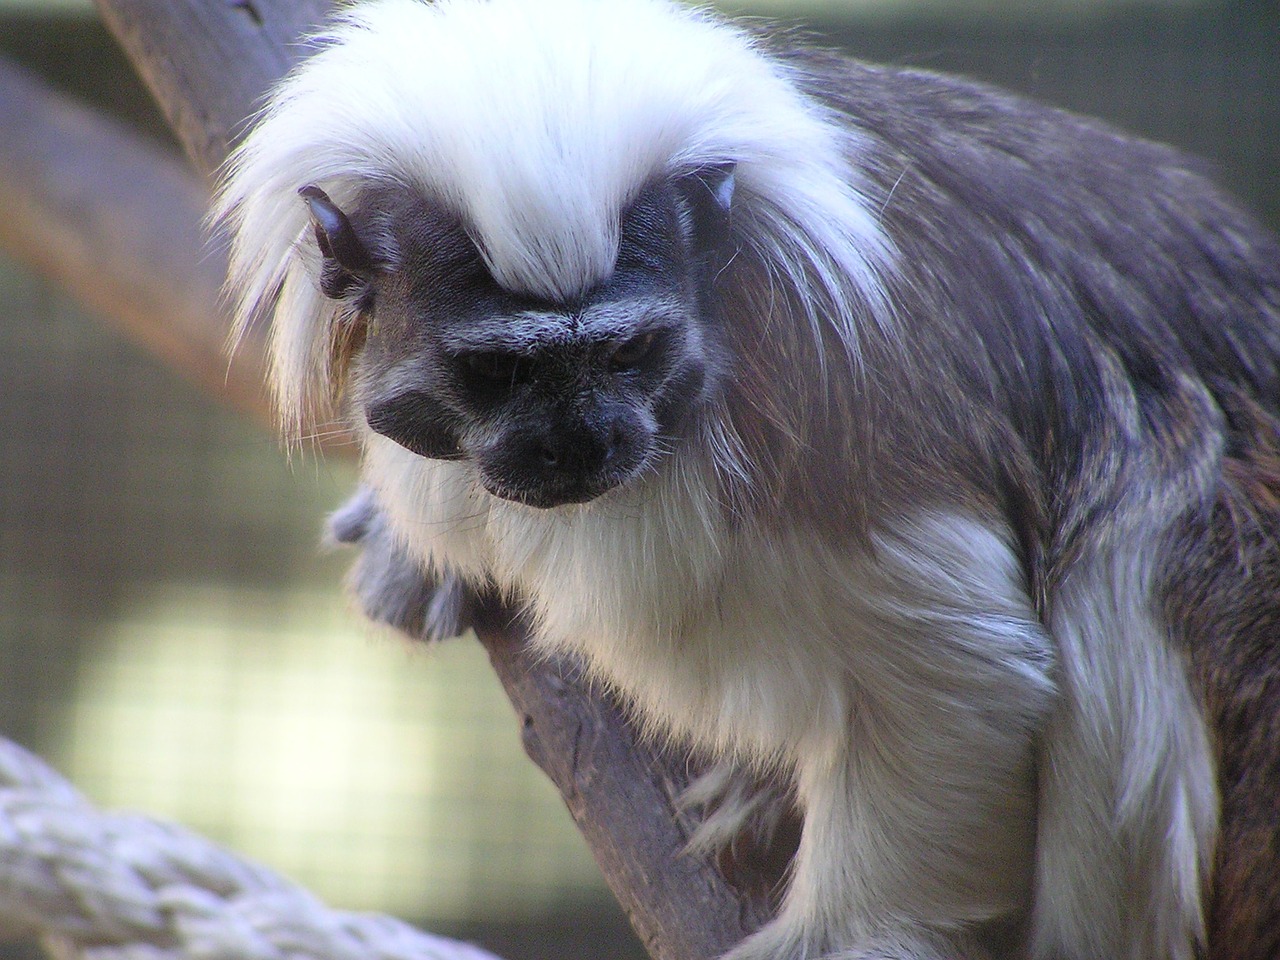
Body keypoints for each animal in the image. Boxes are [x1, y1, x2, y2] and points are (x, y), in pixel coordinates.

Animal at [212, 1, 1280, 960]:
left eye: (631, 352)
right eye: (497, 373)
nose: (580, 443)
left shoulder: (846, 409)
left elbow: (964, 674)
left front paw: (846, 937)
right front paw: (410, 546)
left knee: (1137, 548)